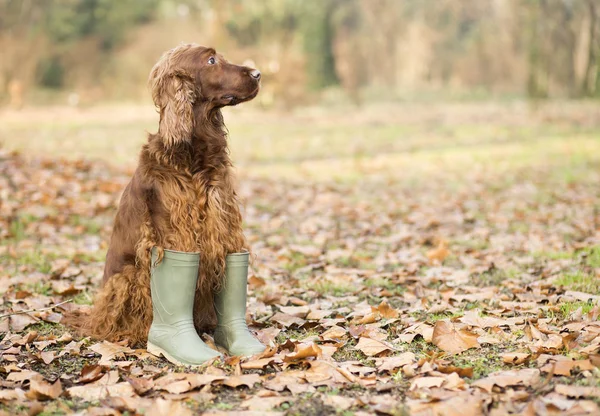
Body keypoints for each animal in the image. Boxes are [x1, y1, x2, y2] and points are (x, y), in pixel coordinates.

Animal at [88, 44, 260, 346]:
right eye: (211, 60)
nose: (258, 74)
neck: (192, 157)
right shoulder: (175, 232)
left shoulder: (224, 222)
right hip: (127, 277)